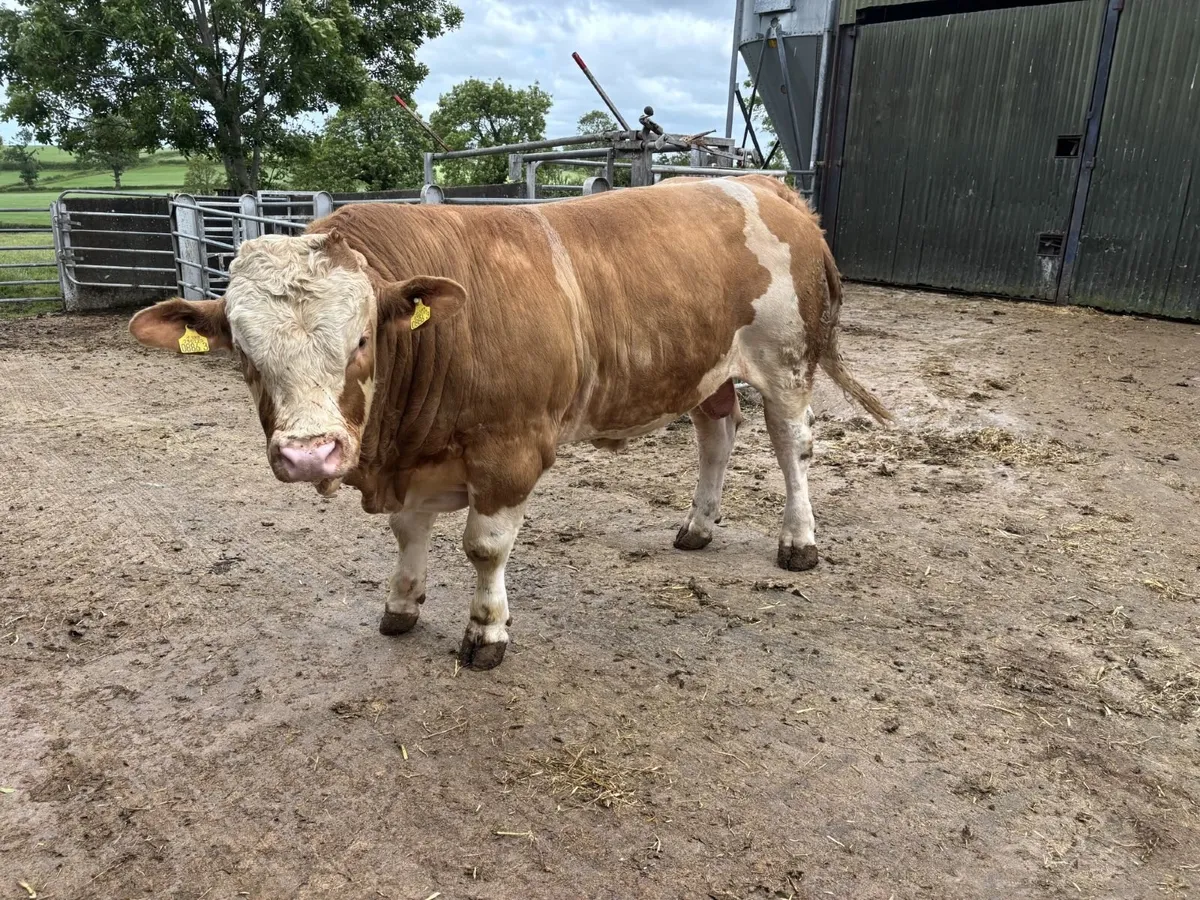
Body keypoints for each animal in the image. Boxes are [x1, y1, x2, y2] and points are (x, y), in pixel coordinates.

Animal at [129, 175, 890, 669]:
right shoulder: (413, 461)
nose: (310, 453)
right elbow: (409, 535)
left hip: (787, 359)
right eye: (244, 353)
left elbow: (484, 547)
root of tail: (762, 183)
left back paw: (799, 540)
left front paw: (486, 633)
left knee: (792, 447)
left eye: (362, 340)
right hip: (703, 366)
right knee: (716, 435)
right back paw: (697, 526)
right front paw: (401, 607)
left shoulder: (511, 451)